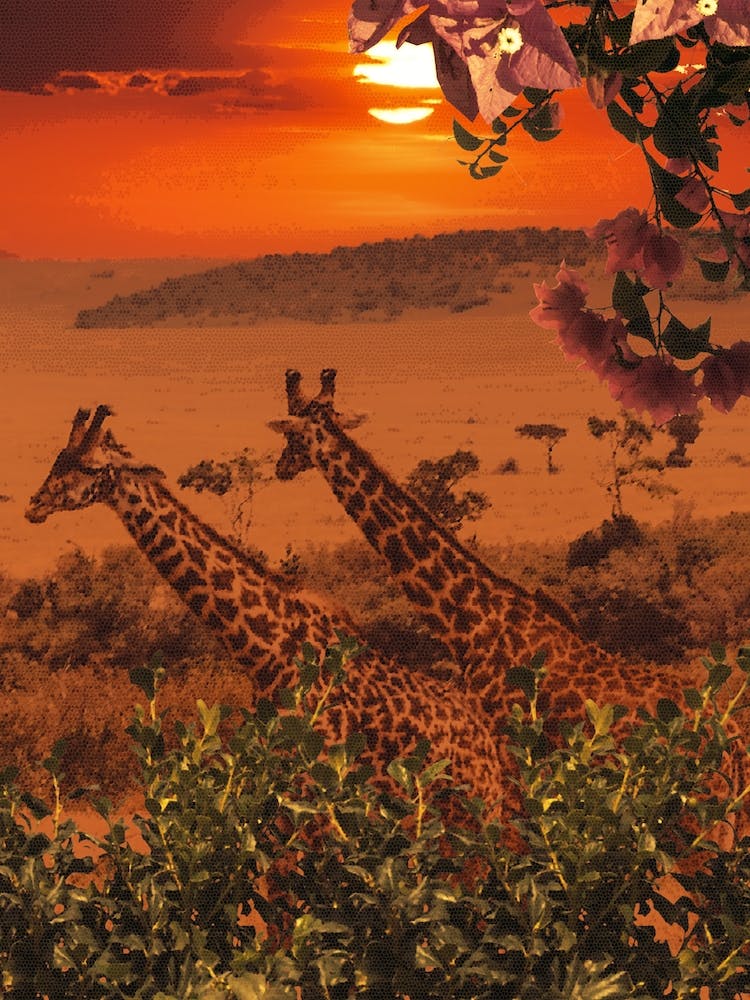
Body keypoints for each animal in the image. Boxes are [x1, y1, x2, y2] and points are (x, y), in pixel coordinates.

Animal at [25, 406, 508, 809]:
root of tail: (489, 751)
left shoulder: (316, 797)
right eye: (58, 458)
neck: (266, 650)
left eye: (89, 467)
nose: (35, 505)